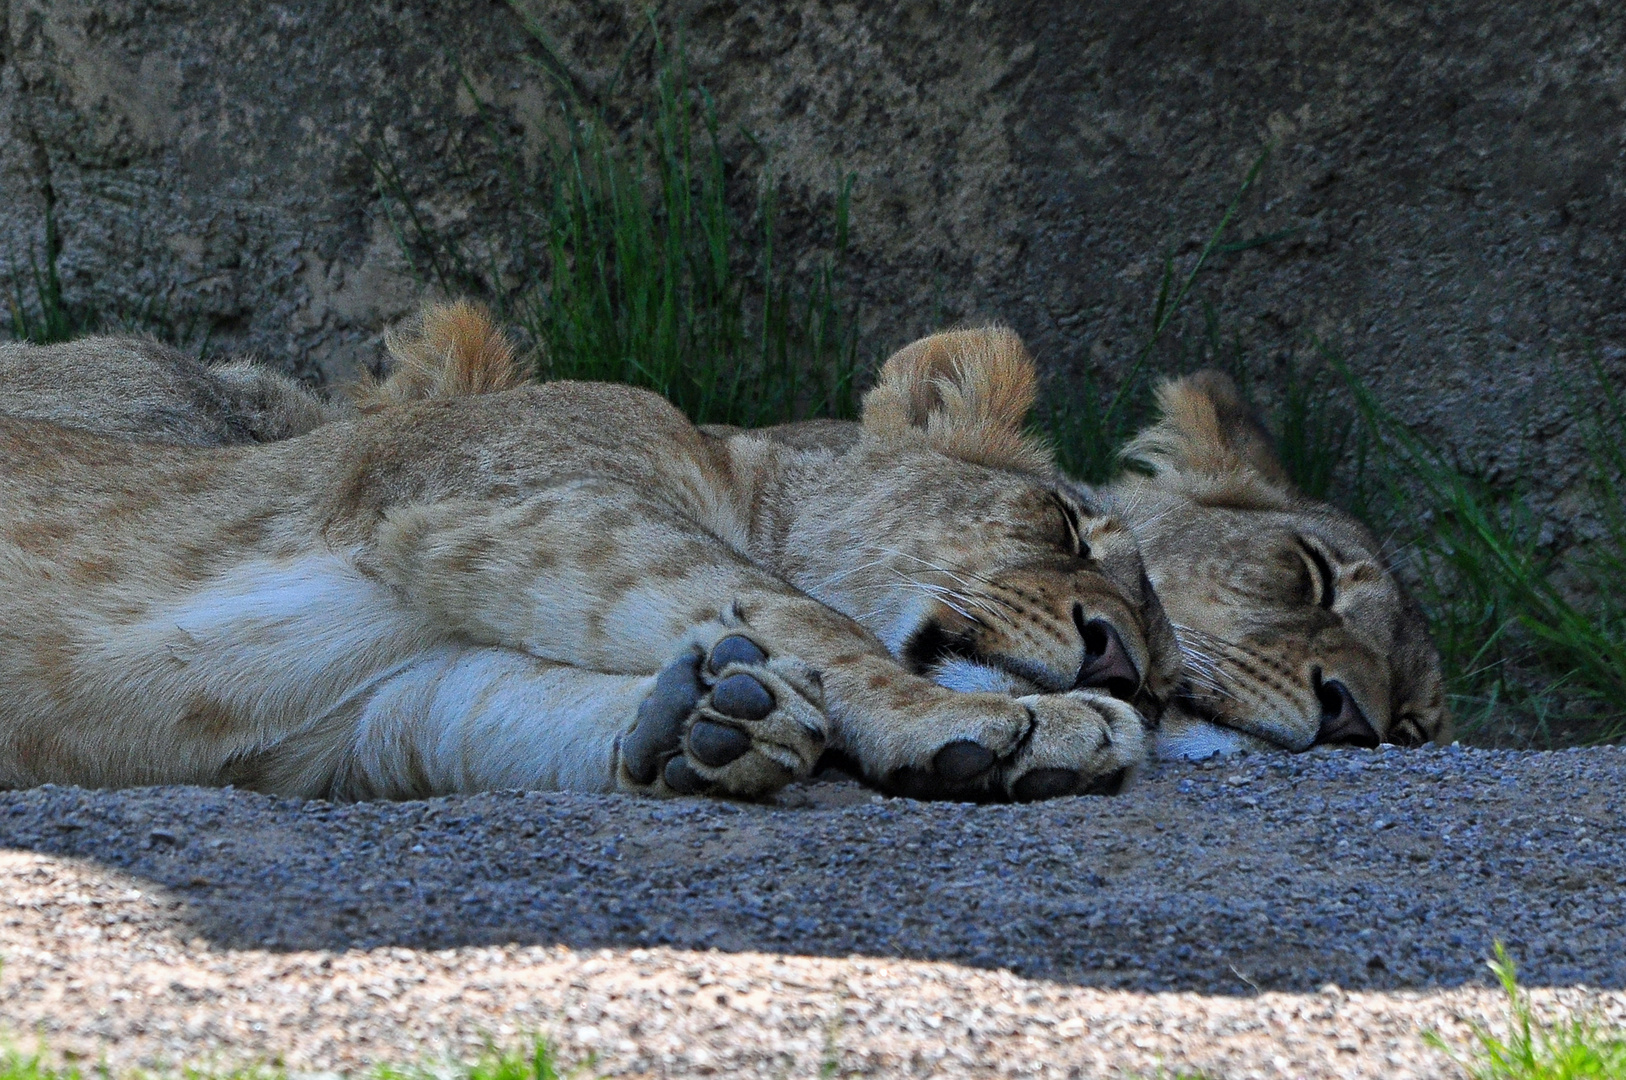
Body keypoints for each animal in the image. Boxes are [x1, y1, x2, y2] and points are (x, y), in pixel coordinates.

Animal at [0, 304, 1177, 800]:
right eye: (1066, 525)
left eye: (1171, 679)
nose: (1125, 668)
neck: (723, 466)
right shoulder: (528, 503)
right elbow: (809, 612)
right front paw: (1002, 728)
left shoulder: (387, 710)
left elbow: (502, 719)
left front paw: (711, 724)